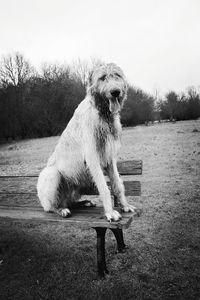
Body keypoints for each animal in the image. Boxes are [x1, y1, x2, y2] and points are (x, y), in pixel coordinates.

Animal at [36, 63, 137, 221]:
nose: (115, 92)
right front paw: (110, 212)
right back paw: (61, 210)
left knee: (69, 202)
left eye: (117, 75)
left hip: (76, 187)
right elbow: (104, 187)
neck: (103, 115)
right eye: (102, 77)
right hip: (52, 175)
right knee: (51, 206)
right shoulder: (92, 158)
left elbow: (117, 184)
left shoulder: (110, 159)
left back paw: (83, 203)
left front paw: (125, 205)